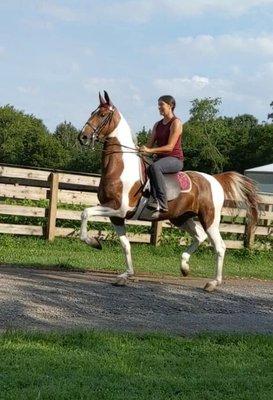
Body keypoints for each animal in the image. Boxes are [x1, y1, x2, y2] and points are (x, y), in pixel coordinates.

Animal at [77, 90, 258, 292]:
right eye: (92, 112)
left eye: (101, 114)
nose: (82, 137)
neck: (120, 167)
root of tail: (215, 179)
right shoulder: (117, 216)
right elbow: (125, 245)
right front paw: (125, 275)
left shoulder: (119, 209)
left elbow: (85, 213)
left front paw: (94, 243)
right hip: (181, 218)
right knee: (200, 236)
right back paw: (184, 266)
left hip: (209, 219)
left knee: (219, 246)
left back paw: (213, 282)